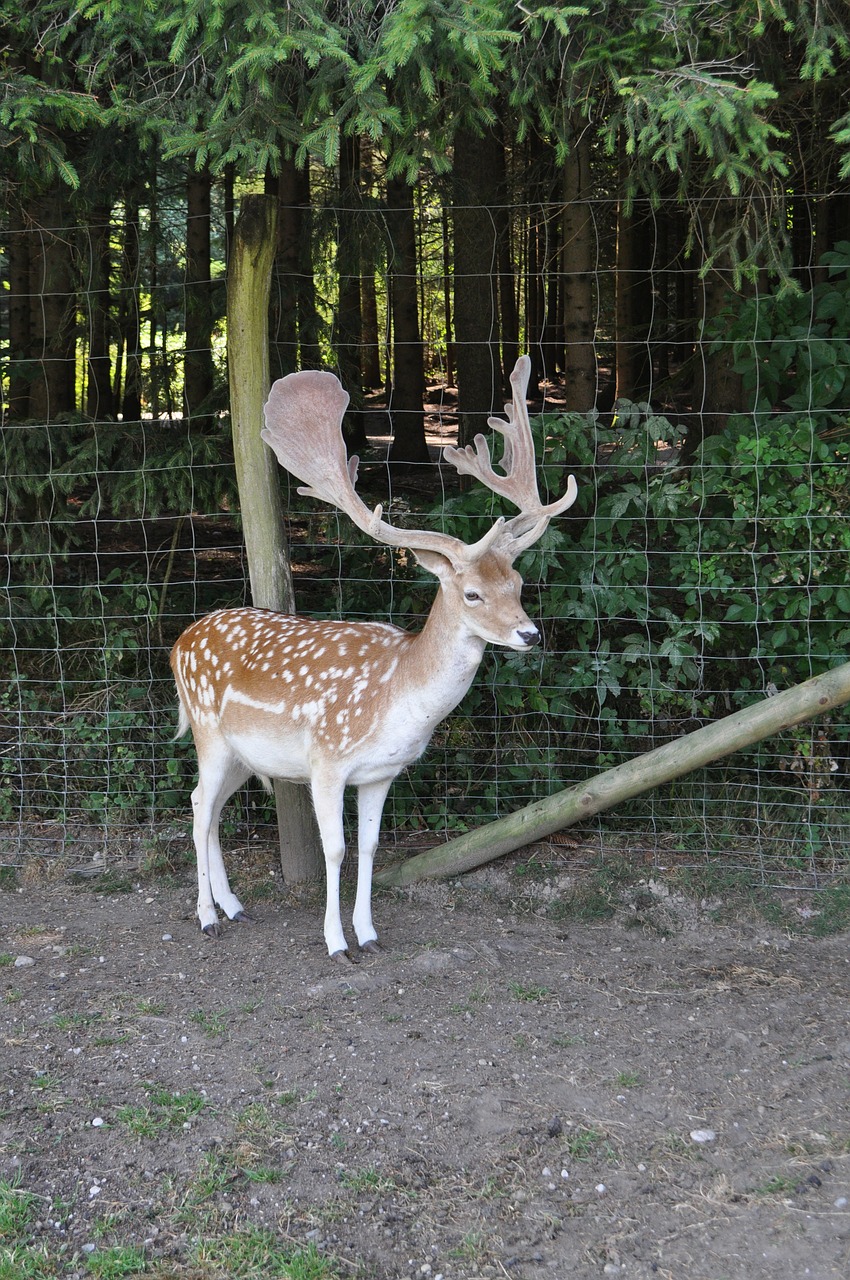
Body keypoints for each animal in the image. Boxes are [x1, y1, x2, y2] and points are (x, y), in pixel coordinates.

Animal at [166, 350, 578, 962]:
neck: (397, 695)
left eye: (519, 583)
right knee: (196, 805)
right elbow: (335, 850)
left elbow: (371, 846)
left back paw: (233, 906)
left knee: (210, 807)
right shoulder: (326, 760)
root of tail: (178, 642)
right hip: (208, 731)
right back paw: (206, 916)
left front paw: (369, 933)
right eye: (472, 593)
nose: (530, 635)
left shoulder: (381, 773)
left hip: (242, 753)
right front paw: (337, 942)